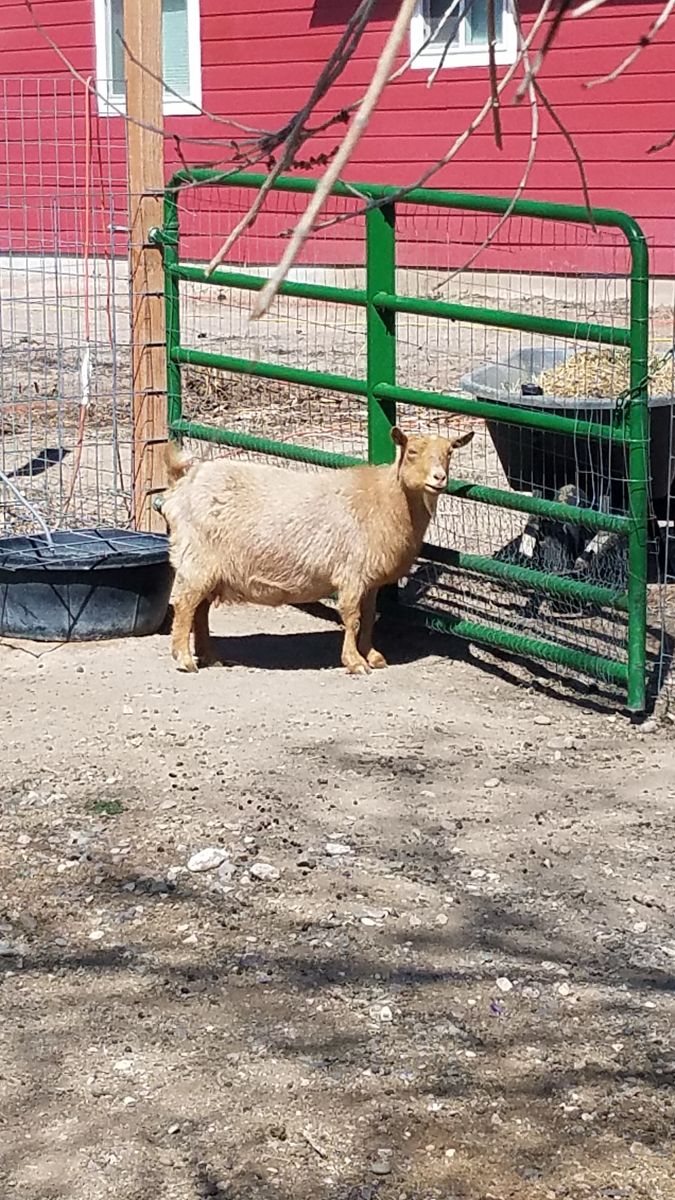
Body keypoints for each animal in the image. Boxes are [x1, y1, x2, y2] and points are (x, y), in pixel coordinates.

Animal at [162, 425, 474, 675]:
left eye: (449, 452)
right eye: (412, 451)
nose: (439, 478)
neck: (385, 500)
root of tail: (182, 483)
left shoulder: (369, 579)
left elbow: (369, 617)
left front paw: (372, 656)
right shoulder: (351, 572)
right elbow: (352, 617)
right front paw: (354, 662)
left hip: (210, 567)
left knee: (200, 610)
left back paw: (210, 656)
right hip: (197, 557)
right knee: (185, 605)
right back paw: (185, 659)